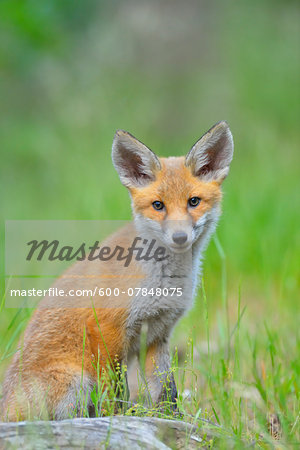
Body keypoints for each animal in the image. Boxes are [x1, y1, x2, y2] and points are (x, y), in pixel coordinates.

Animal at [0, 121, 234, 420]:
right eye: (158, 205)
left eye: (194, 201)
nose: (180, 237)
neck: (163, 281)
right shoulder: (106, 328)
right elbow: (114, 389)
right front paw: (116, 419)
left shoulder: (157, 334)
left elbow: (166, 389)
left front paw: (172, 420)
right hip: (75, 381)